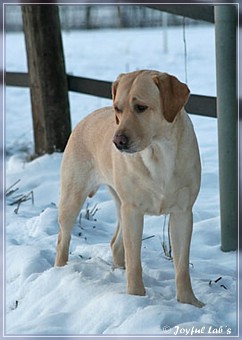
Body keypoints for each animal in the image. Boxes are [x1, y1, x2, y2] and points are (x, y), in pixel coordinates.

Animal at [55, 69, 204, 308]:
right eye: (118, 108)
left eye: (141, 107)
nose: (118, 141)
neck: (159, 154)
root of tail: (84, 119)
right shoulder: (133, 210)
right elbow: (135, 262)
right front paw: (136, 297)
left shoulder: (182, 213)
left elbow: (181, 266)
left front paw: (189, 302)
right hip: (72, 198)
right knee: (63, 240)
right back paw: (59, 272)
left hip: (119, 204)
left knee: (116, 244)